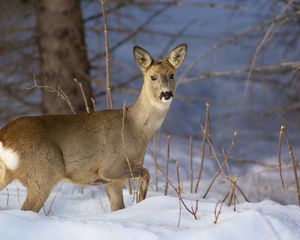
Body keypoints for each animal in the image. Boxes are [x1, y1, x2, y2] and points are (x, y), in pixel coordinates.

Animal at [0, 43, 188, 212]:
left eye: (172, 75)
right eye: (153, 77)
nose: (166, 94)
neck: (136, 129)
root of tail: (4, 137)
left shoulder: (113, 182)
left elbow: (118, 208)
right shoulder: (110, 167)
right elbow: (146, 172)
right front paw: (141, 200)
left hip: (9, 173)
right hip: (43, 173)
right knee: (27, 208)